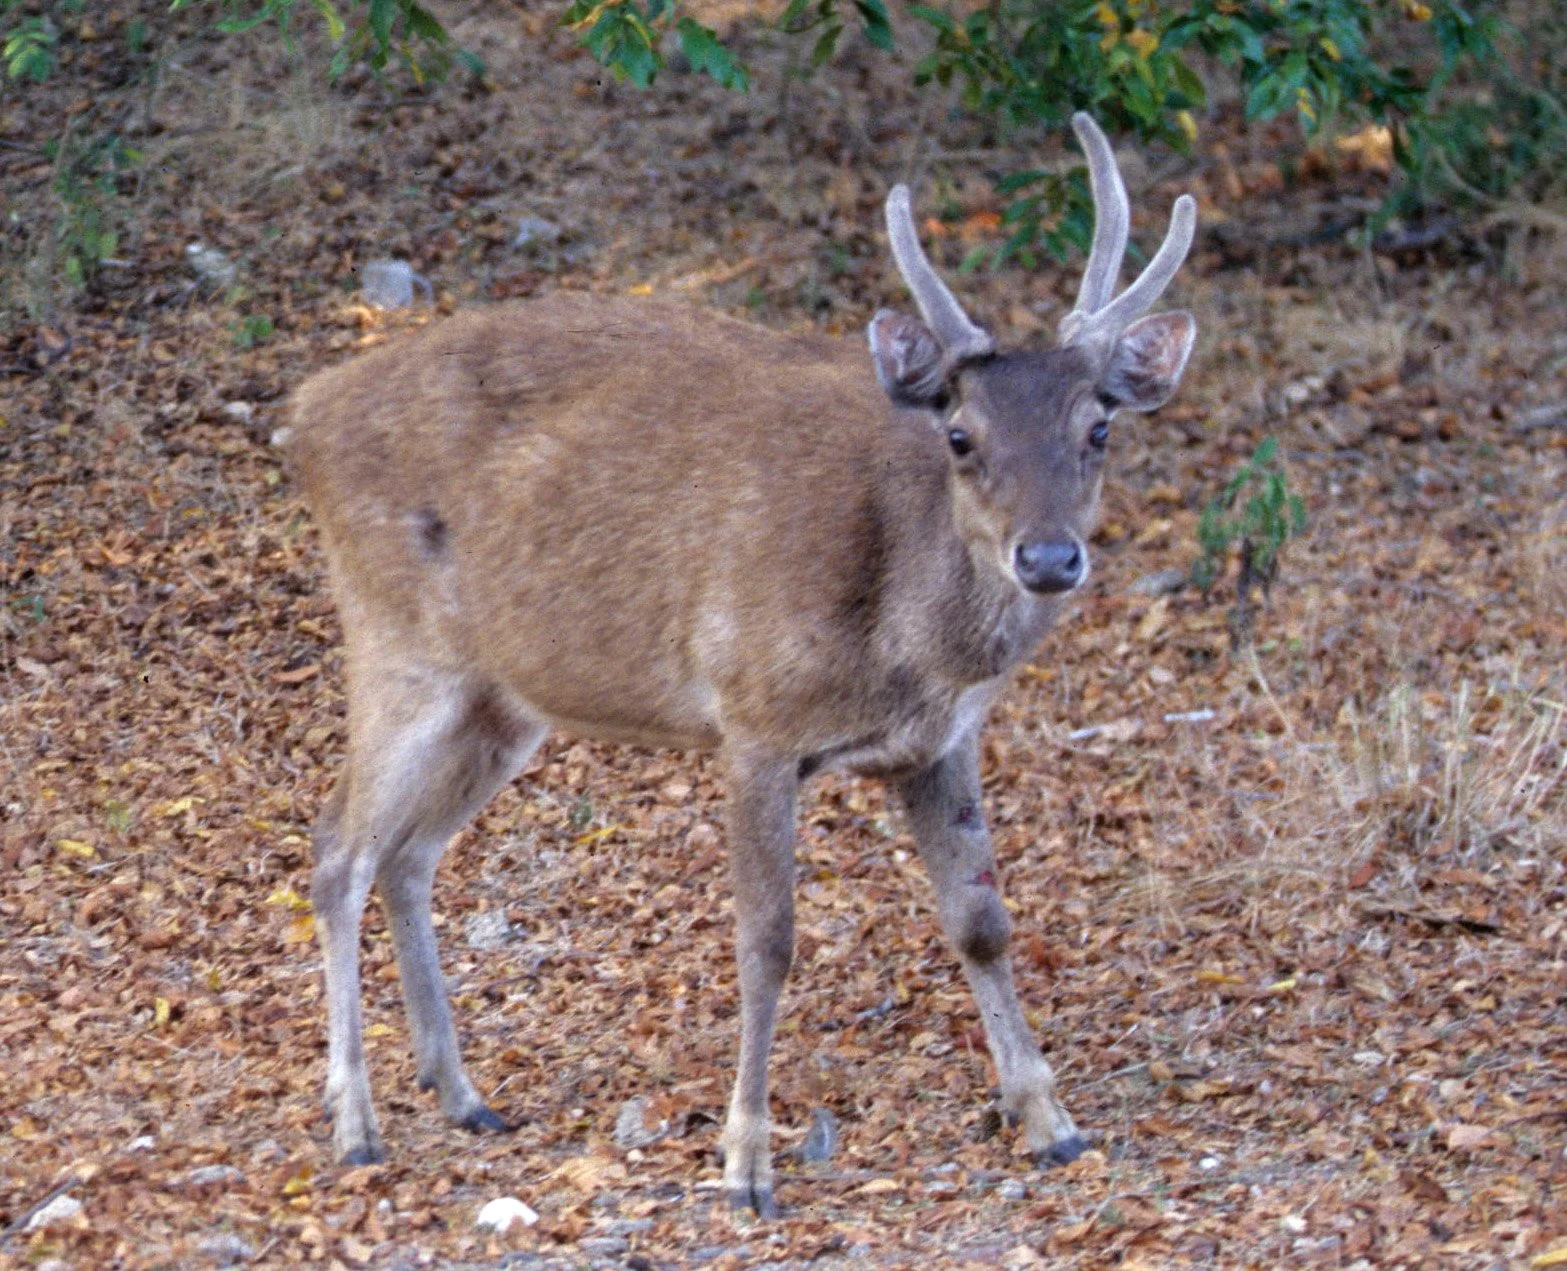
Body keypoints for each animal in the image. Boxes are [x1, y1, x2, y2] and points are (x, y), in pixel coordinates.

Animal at [285, 112, 1197, 1217]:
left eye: (1097, 427)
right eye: (960, 434)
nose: (1051, 557)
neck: (902, 640)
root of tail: (305, 410)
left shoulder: (941, 740)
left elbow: (981, 919)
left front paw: (1049, 1120)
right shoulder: (753, 718)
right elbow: (767, 940)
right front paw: (745, 1159)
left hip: (499, 700)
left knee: (410, 852)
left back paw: (463, 1093)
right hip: (395, 641)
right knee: (338, 848)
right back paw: (355, 1123)